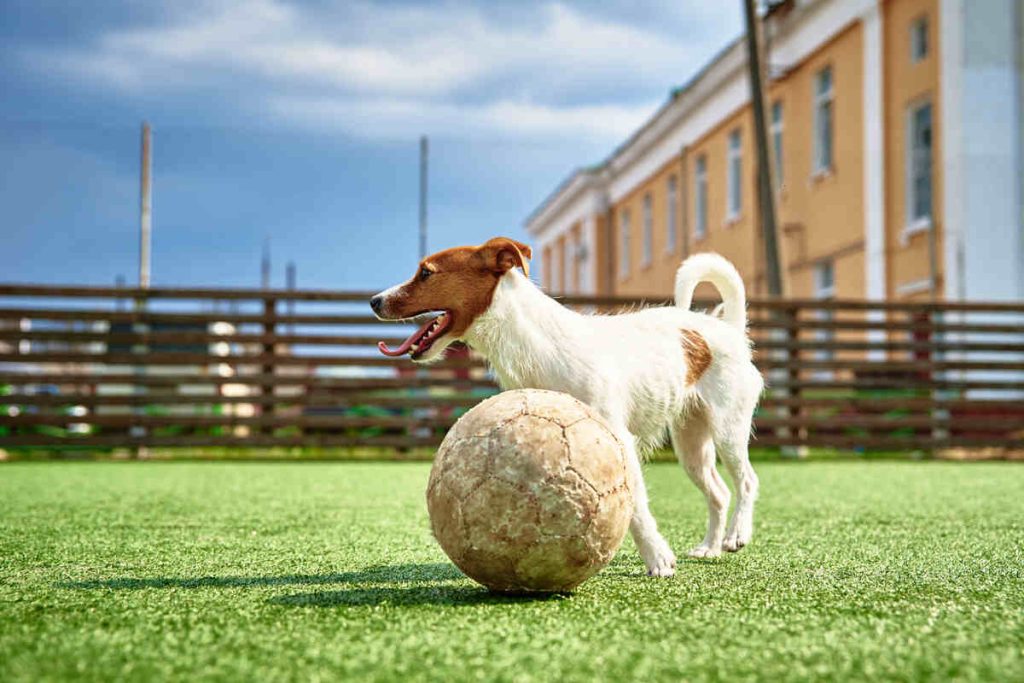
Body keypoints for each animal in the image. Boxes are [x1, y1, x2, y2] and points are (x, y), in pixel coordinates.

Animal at [372, 237, 765, 573]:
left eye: (426, 273)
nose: (374, 300)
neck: (534, 344)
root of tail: (727, 329)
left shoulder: (619, 439)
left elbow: (637, 506)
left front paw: (657, 558)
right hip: (691, 443)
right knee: (719, 492)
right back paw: (710, 547)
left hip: (728, 428)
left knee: (747, 480)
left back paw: (736, 535)